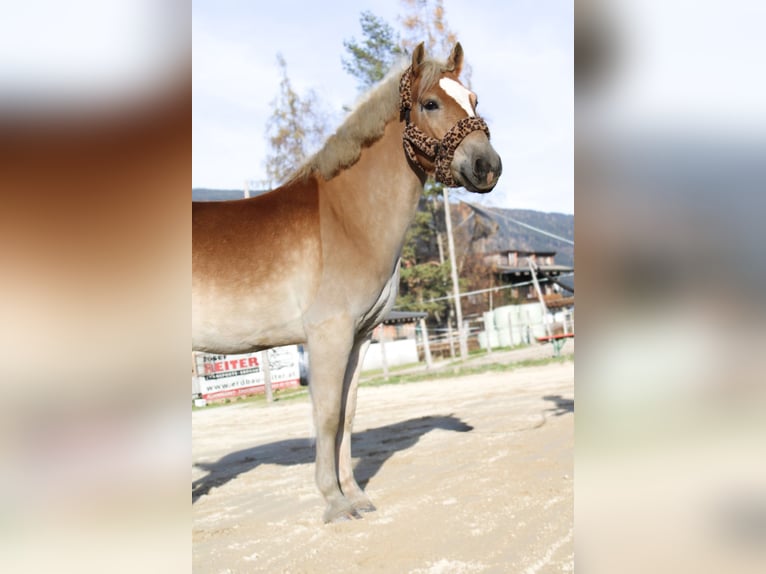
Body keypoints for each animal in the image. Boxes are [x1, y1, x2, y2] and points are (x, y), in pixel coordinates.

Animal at [192, 41, 504, 528]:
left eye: (473, 99)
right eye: (430, 103)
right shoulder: (328, 334)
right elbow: (326, 414)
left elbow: (348, 415)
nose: (486, 165)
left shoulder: (359, 337)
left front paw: (355, 494)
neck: (347, 220)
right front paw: (335, 503)